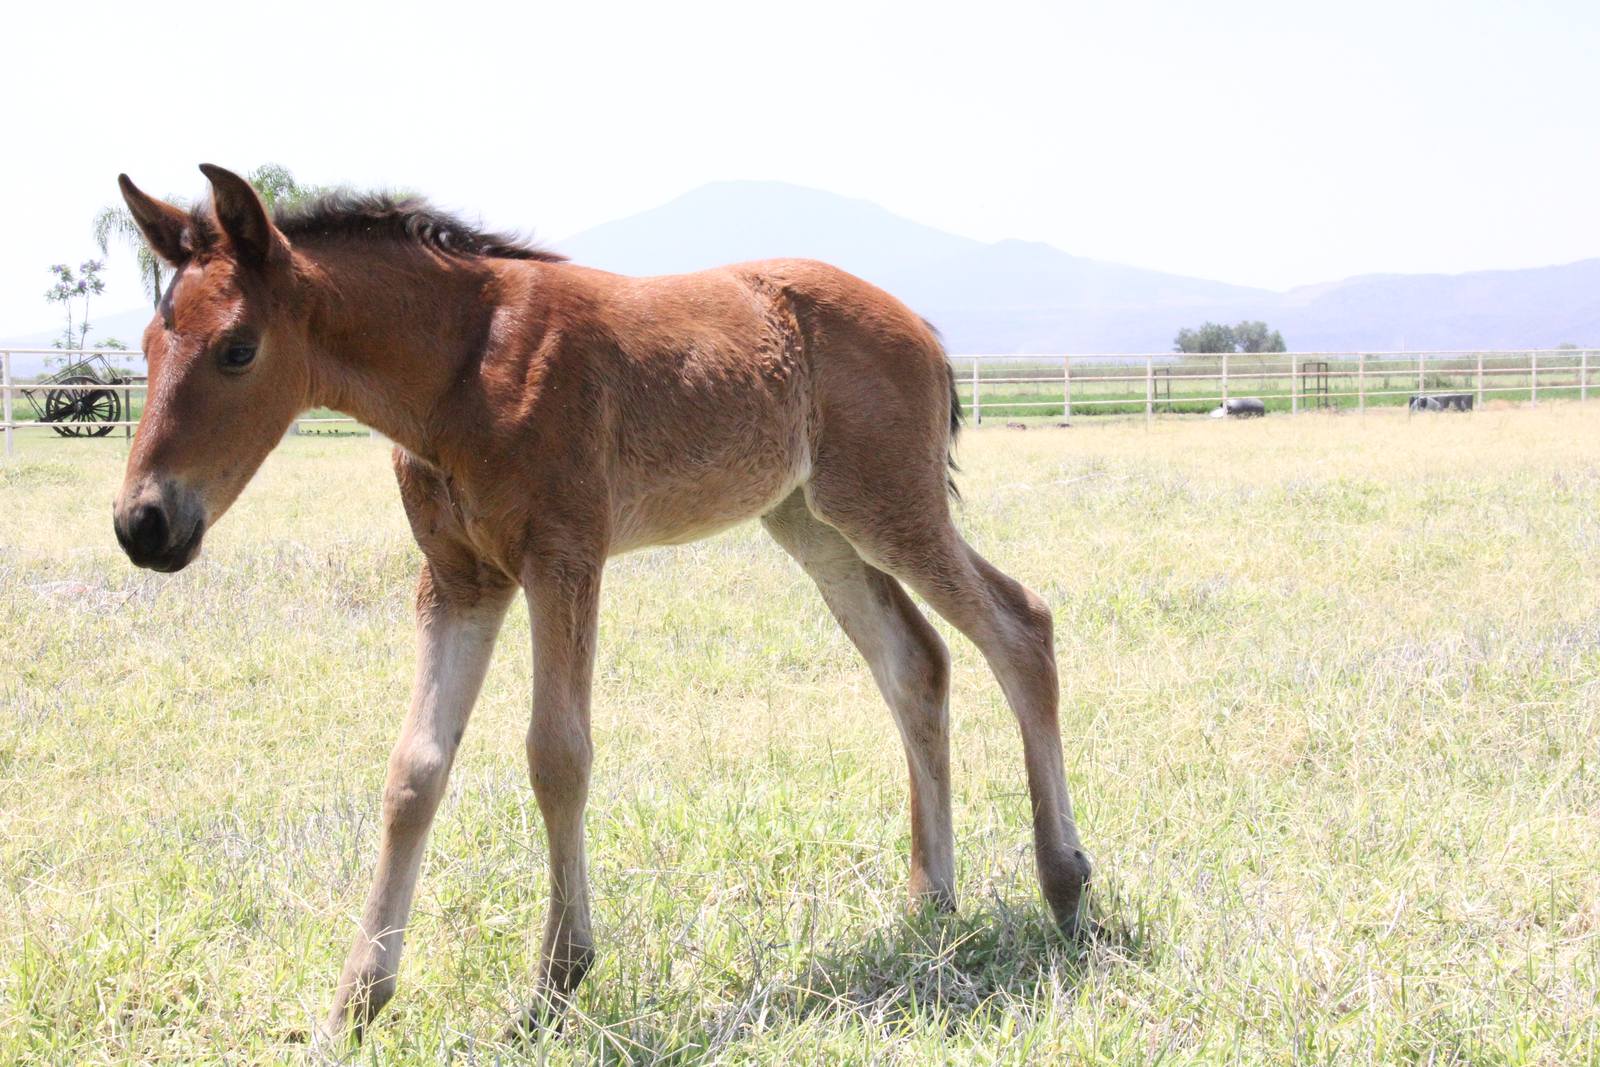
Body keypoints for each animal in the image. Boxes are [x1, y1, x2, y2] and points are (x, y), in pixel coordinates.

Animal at [110, 164, 1092, 1043]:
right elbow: (414, 771)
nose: (142, 524)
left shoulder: (564, 558)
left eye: (238, 348)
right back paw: (933, 903)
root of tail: (921, 327)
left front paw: (556, 983)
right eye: (150, 348)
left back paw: (1065, 885)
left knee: (1022, 626)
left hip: (890, 504)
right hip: (810, 521)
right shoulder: (459, 580)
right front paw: (355, 1003)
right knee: (915, 661)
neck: (463, 366)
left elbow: (557, 754)